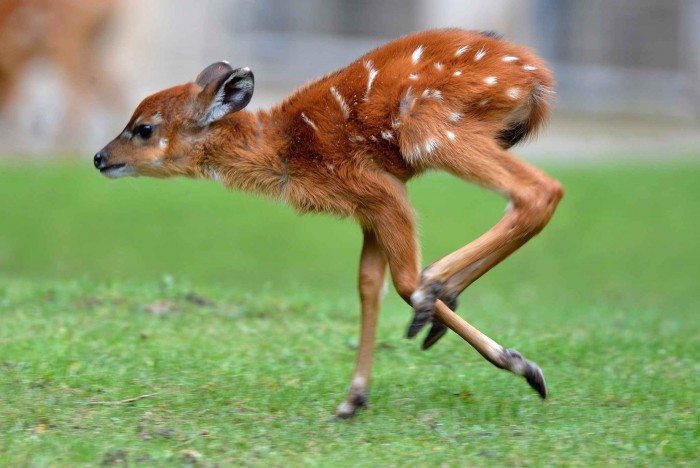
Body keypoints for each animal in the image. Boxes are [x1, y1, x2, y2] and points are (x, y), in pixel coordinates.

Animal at [94, 29, 564, 416]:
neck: (286, 150)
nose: (99, 157)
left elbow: (403, 280)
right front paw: (353, 400)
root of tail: (536, 79)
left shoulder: (378, 188)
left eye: (144, 128)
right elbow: (368, 283)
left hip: (431, 126)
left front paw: (521, 364)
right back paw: (443, 304)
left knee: (539, 191)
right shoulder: (370, 204)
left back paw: (442, 295)